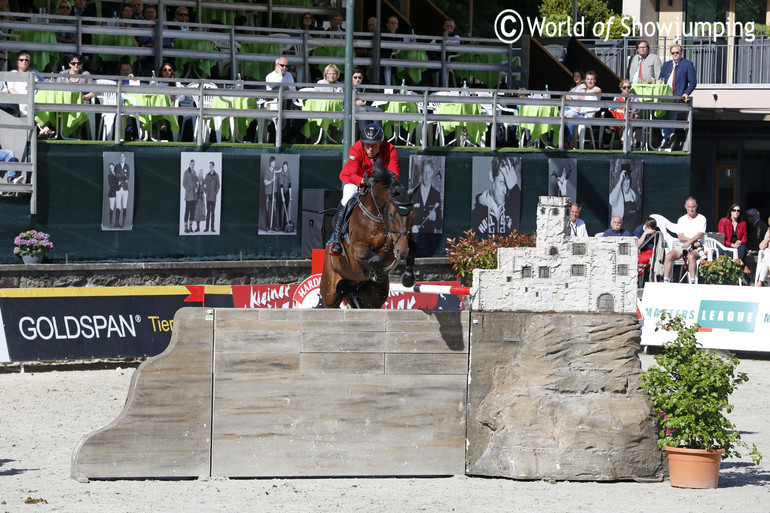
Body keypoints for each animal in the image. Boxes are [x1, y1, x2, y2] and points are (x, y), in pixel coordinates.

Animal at [318, 164, 414, 308]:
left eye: (412, 214)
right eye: (391, 214)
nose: (401, 252)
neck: (378, 218)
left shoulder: (402, 241)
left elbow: (412, 250)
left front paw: (408, 277)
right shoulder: (356, 249)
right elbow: (375, 259)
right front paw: (377, 273)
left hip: (374, 299)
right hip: (330, 292)